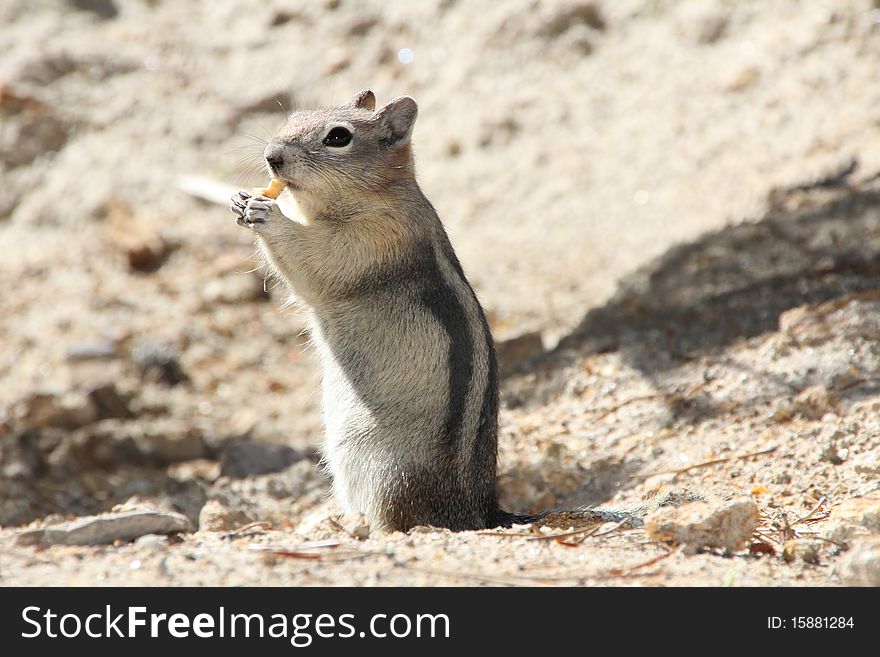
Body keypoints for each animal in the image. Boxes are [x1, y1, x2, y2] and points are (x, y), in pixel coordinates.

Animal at [229, 92, 528, 532]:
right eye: (295, 116)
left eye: (338, 137)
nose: (272, 156)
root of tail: (477, 512)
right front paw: (240, 199)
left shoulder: (372, 239)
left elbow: (314, 262)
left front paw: (268, 213)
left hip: (386, 473)